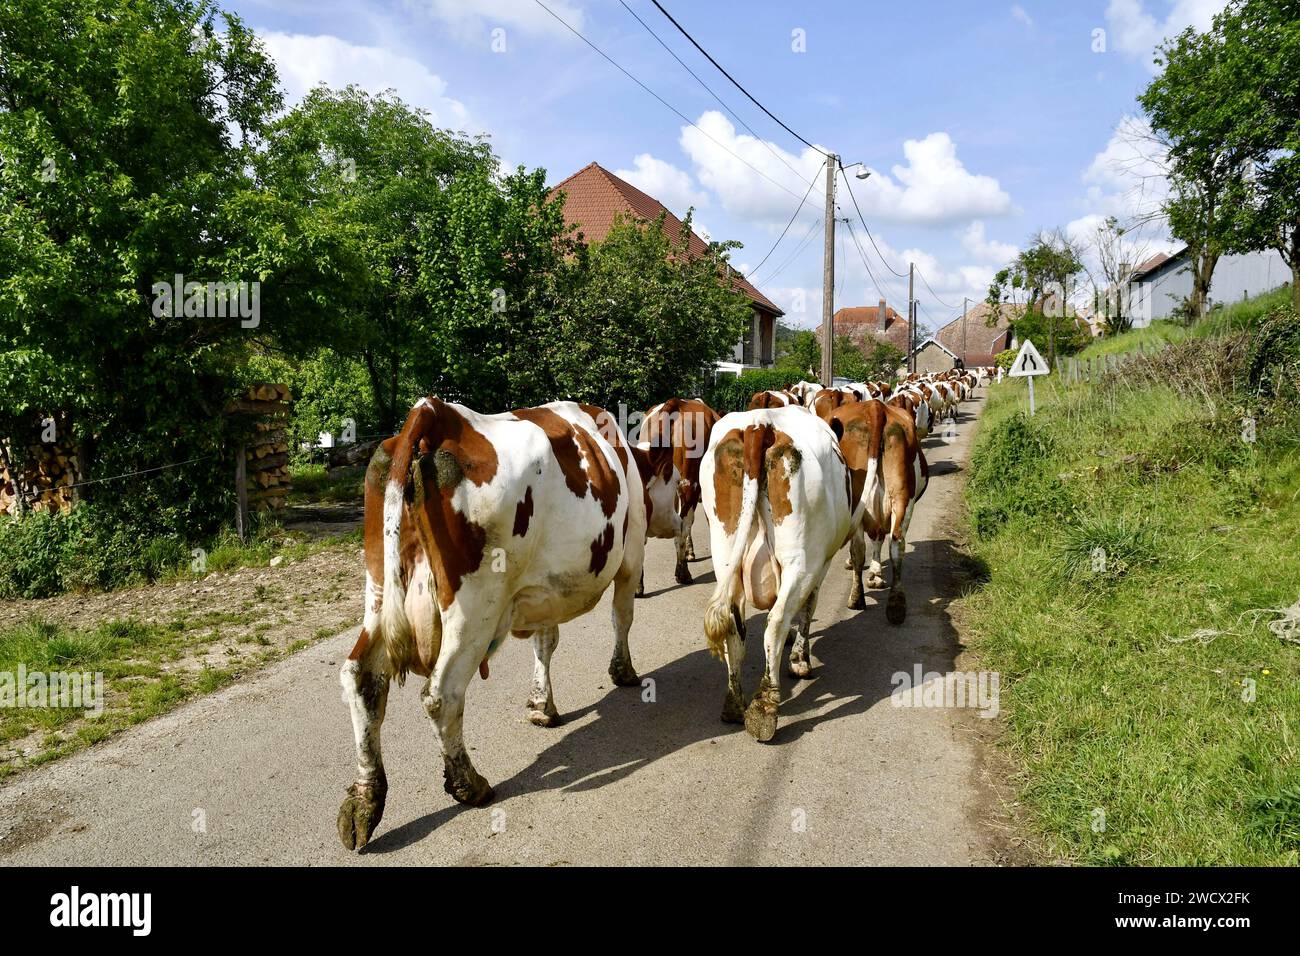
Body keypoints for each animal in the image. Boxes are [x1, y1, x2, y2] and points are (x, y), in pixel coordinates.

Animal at [332, 400, 642, 848]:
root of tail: (437, 412)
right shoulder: (632, 551)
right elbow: (622, 615)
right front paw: (623, 672)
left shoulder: (540, 589)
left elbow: (545, 641)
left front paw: (541, 705)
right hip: (474, 605)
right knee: (441, 694)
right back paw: (469, 785)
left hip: (378, 589)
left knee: (363, 678)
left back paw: (364, 802)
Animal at [702, 403, 852, 738]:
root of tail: (759, 424)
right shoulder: (822, 562)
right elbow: (809, 607)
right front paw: (800, 660)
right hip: (801, 559)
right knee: (776, 621)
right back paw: (764, 708)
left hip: (725, 553)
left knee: (733, 624)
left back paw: (734, 704)